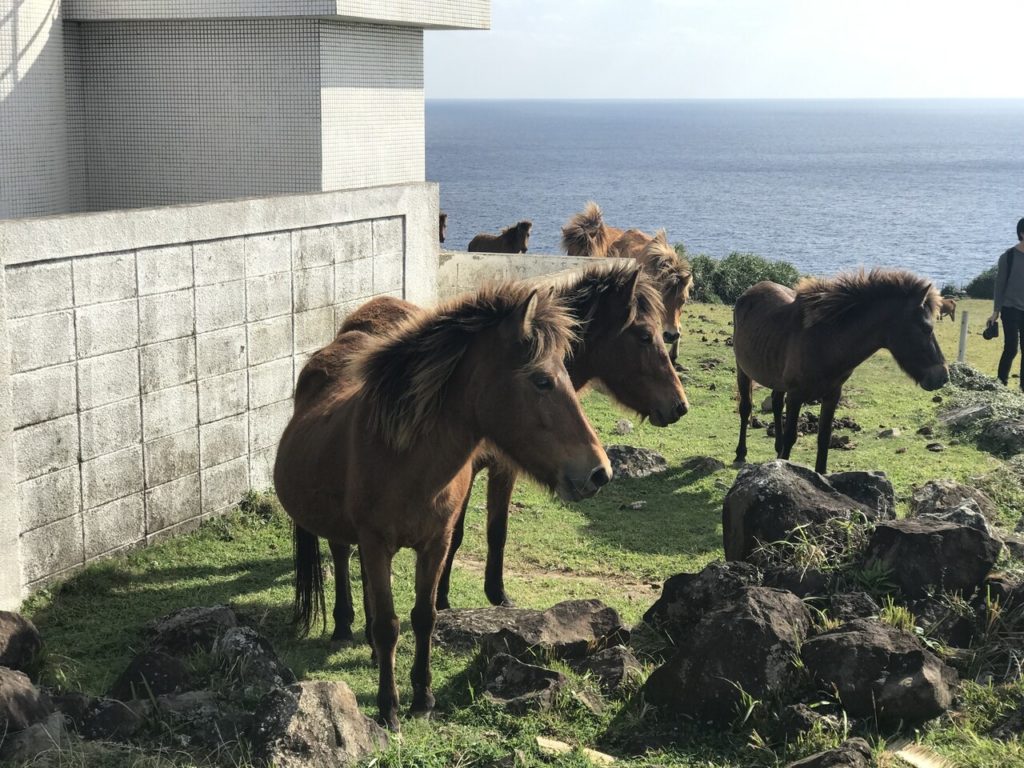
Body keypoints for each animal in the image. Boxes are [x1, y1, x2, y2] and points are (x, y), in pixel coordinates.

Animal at [272, 286, 606, 729]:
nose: (599, 472)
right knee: (342, 556)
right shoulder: (376, 542)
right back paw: (344, 625)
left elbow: (424, 616)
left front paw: (423, 698)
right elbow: (390, 623)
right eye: (542, 381)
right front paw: (389, 707)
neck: (408, 457)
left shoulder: (436, 543)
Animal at [733, 268, 946, 475]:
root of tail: (750, 291)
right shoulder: (795, 396)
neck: (827, 341)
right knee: (746, 408)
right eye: (926, 328)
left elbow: (824, 438)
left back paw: (776, 450)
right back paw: (740, 454)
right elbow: (791, 436)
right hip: (743, 370)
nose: (942, 377)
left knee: (776, 405)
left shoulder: (832, 395)